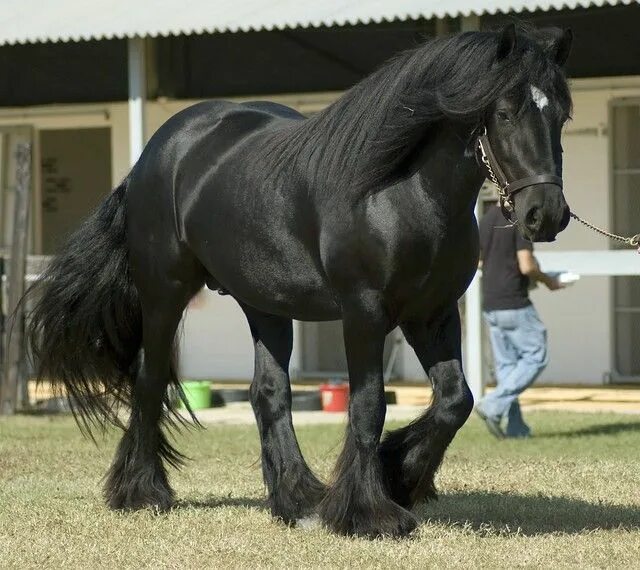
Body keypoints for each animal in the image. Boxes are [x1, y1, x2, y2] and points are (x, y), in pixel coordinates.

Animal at [27, 23, 572, 536]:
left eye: (560, 116)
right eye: (504, 114)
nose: (546, 214)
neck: (401, 193)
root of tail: (154, 155)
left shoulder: (430, 313)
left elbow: (456, 400)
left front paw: (398, 475)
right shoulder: (364, 313)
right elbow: (368, 406)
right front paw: (370, 513)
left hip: (264, 303)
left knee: (269, 393)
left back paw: (296, 499)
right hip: (164, 295)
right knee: (150, 380)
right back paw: (143, 492)